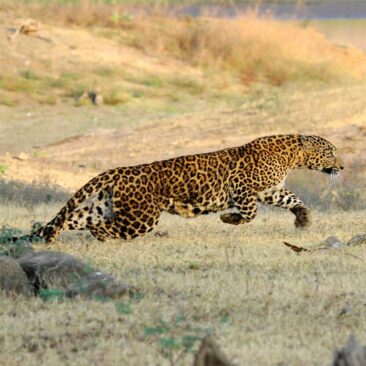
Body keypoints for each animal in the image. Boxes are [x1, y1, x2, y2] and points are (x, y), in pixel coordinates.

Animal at [12, 134, 344, 243]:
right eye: (330, 152)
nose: (341, 166)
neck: (292, 156)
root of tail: (115, 171)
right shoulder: (243, 186)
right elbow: (250, 213)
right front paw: (229, 219)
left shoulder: (270, 190)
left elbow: (292, 199)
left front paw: (303, 219)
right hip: (142, 217)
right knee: (101, 228)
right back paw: (105, 241)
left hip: (100, 206)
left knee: (73, 222)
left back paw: (51, 239)